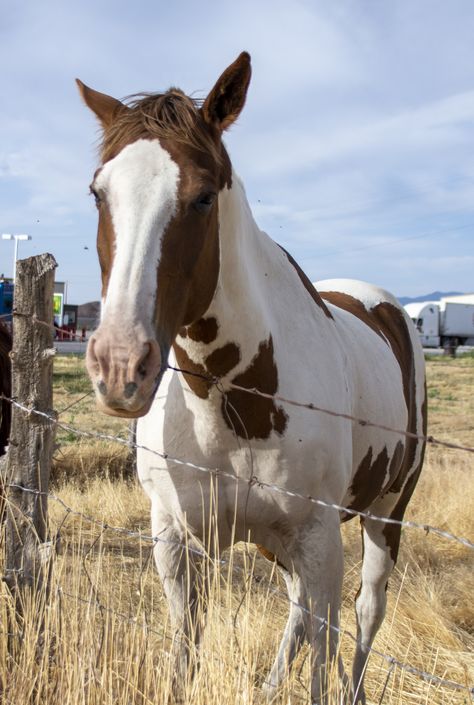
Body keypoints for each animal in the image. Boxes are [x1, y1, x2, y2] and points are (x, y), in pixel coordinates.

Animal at [77, 52, 426, 700]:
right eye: (98, 193)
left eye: (203, 197)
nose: (121, 366)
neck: (229, 401)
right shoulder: (175, 539)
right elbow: (186, 653)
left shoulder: (319, 539)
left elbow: (324, 654)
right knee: (297, 608)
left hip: (385, 512)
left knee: (364, 612)